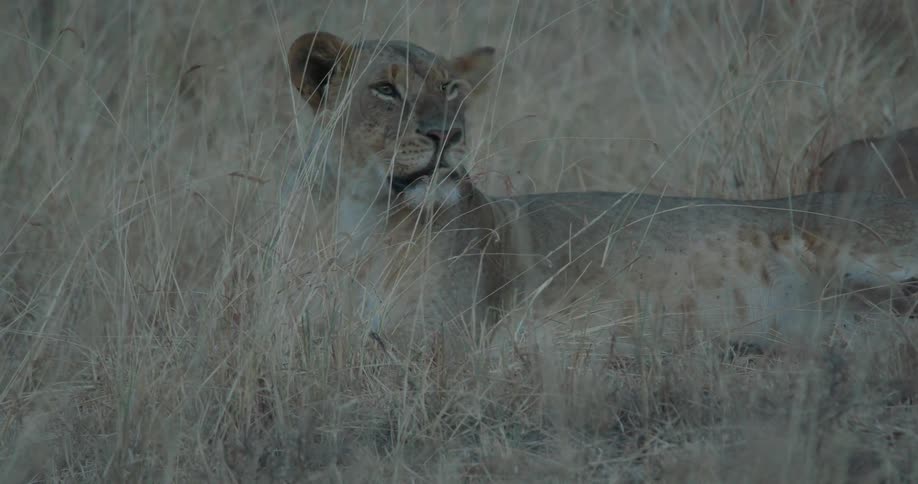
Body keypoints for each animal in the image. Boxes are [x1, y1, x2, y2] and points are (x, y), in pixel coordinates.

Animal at [287, 31, 918, 359]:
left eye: (450, 88)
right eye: (385, 90)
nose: (450, 134)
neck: (367, 220)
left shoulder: (448, 332)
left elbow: (367, 342)